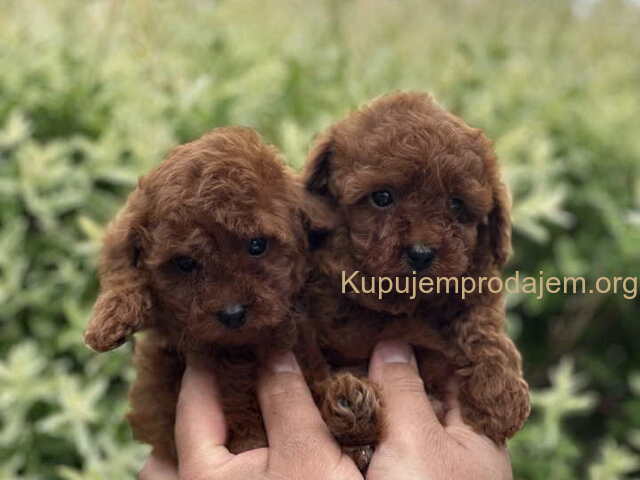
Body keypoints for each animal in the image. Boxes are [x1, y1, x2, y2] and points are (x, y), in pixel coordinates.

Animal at [301, 92, 530, 469]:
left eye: (456, 204)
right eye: (382, 197)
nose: (421, 254)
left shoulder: (475, 280)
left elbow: (484, 327)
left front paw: (500, 397)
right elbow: (313, 367)